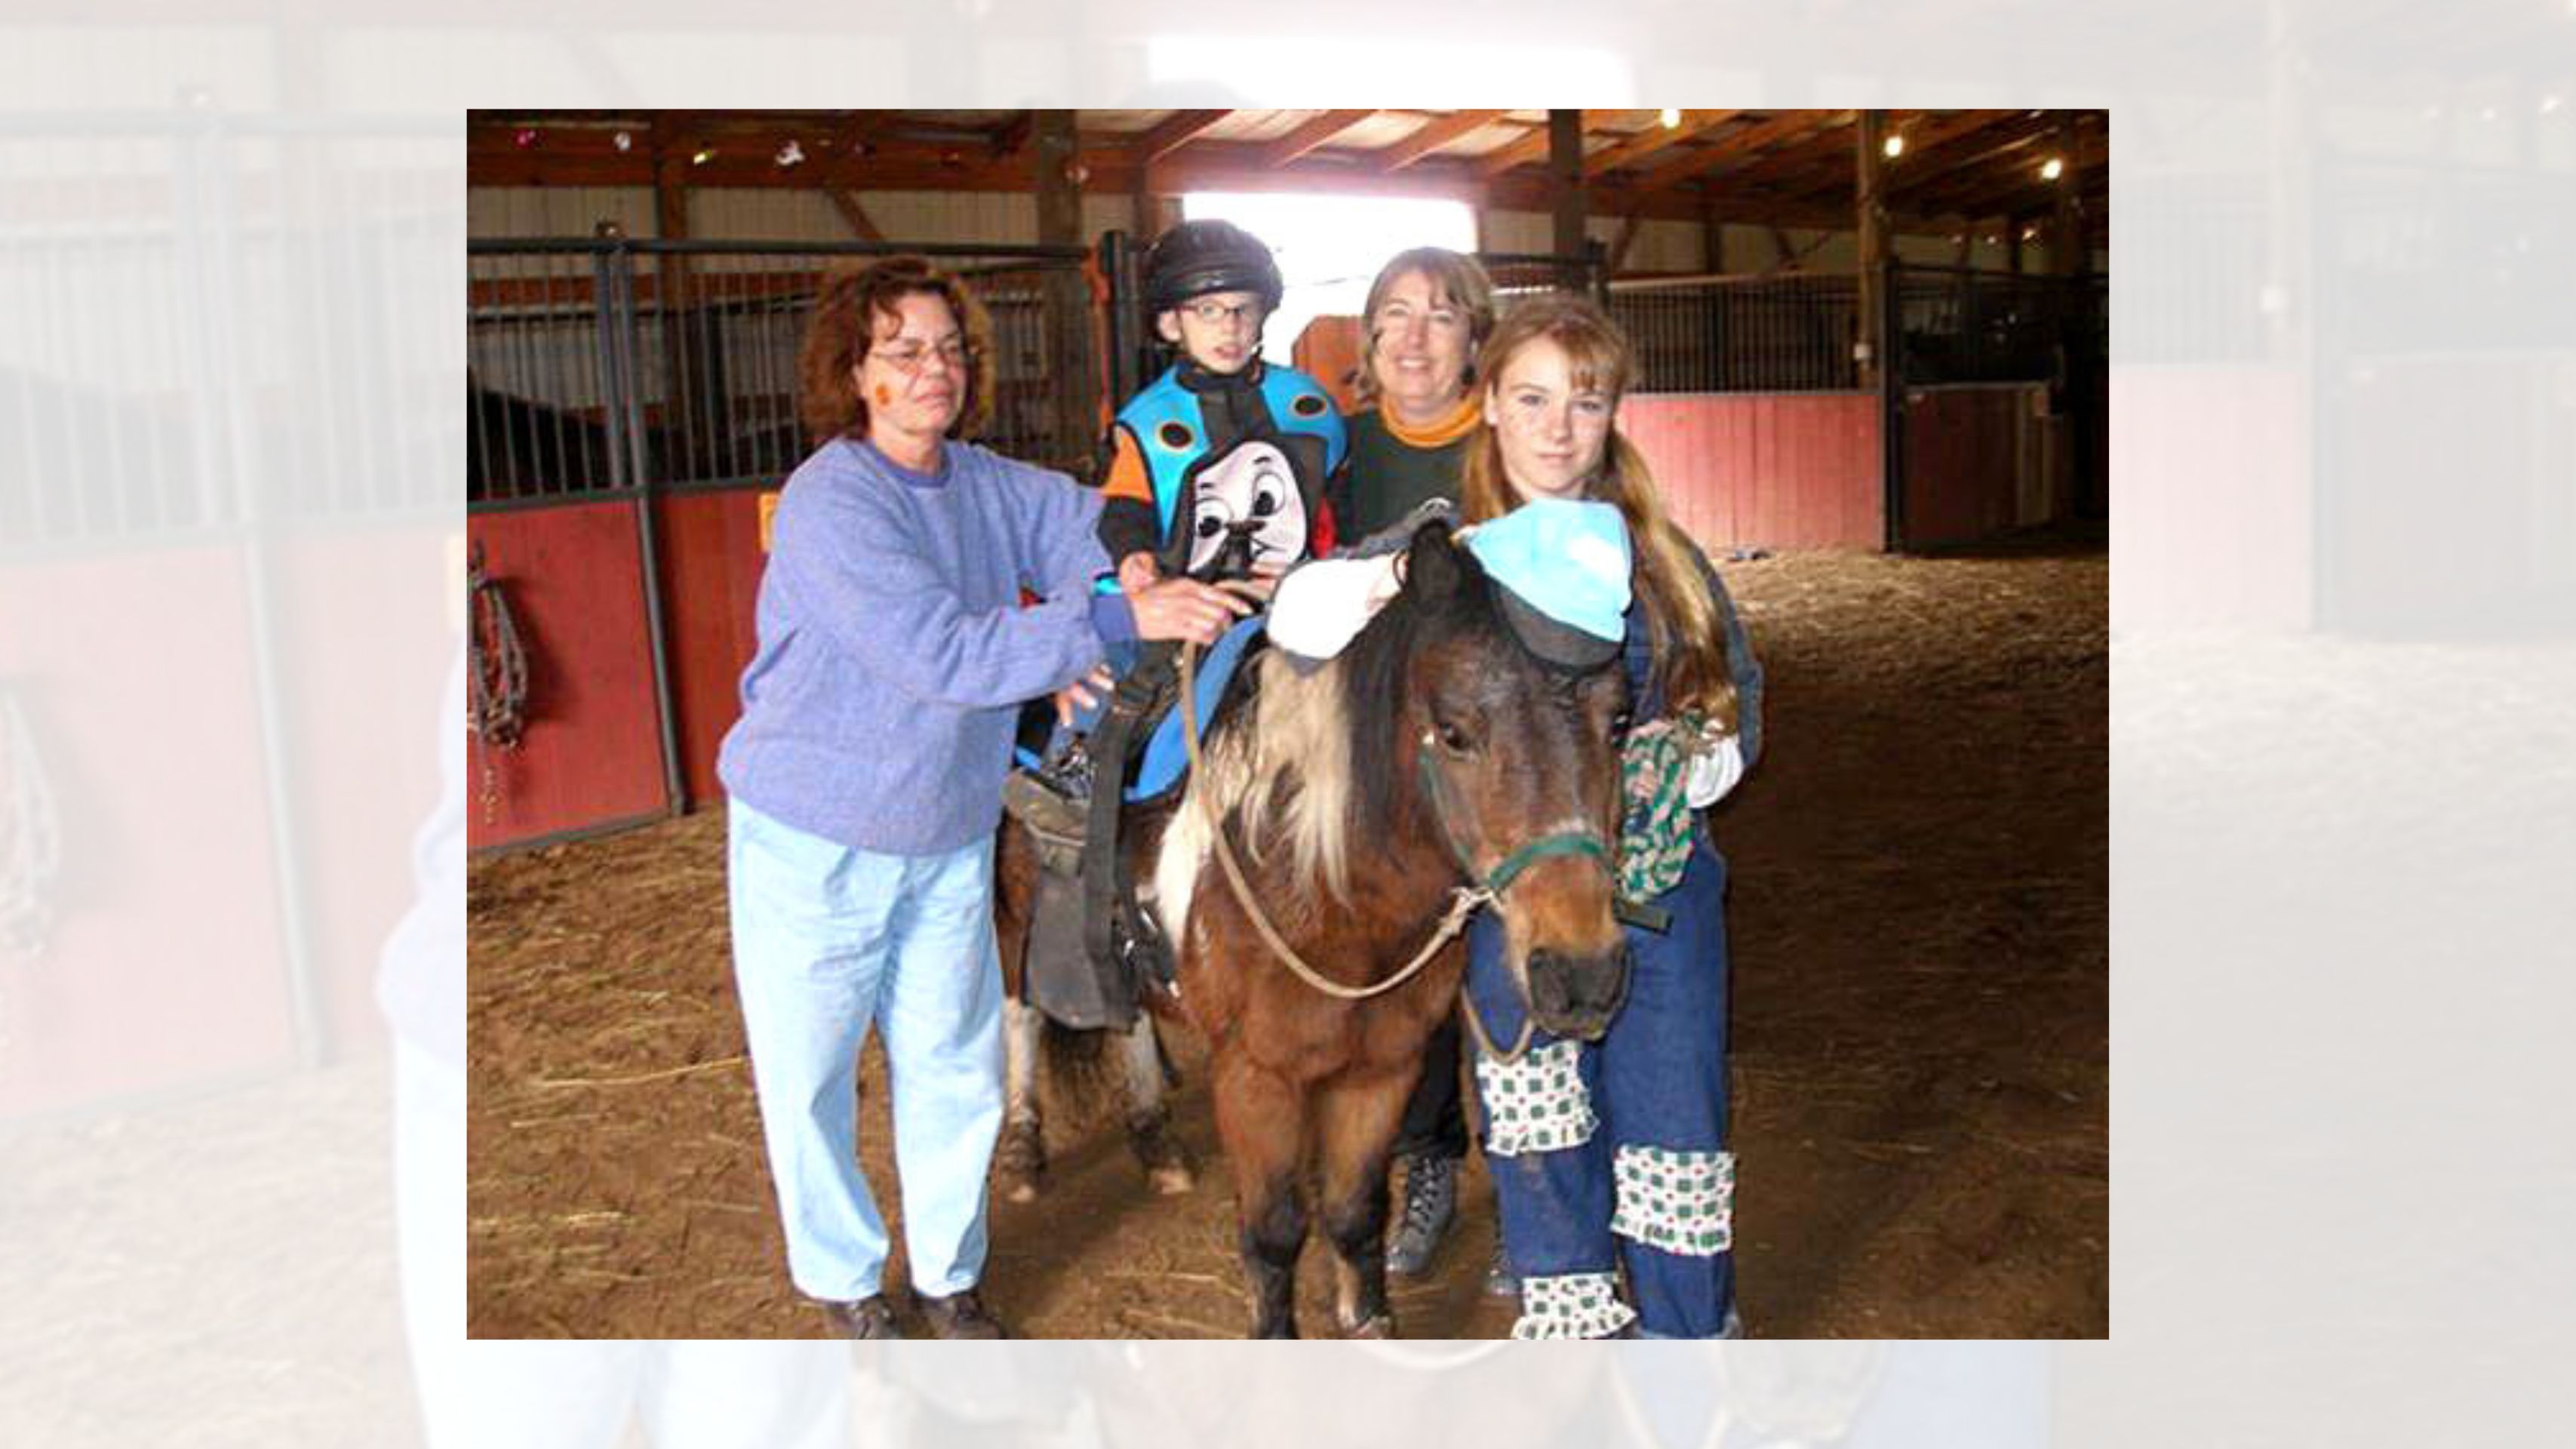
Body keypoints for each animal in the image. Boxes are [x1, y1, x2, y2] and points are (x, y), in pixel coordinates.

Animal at [997, 519, 1635, 1337]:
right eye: (1455, 731)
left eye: (1618, 721)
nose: (1582, 974)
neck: (1325, 885)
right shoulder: (1255, 1079)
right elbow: (1273, 1232)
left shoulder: (1383, 1068)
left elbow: (1355, 1209)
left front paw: (1367, 1319)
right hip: (1013, 918)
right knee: (1020, 1014)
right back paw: (1023, 1148)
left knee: (1127, 1016)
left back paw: (1155, 1140)